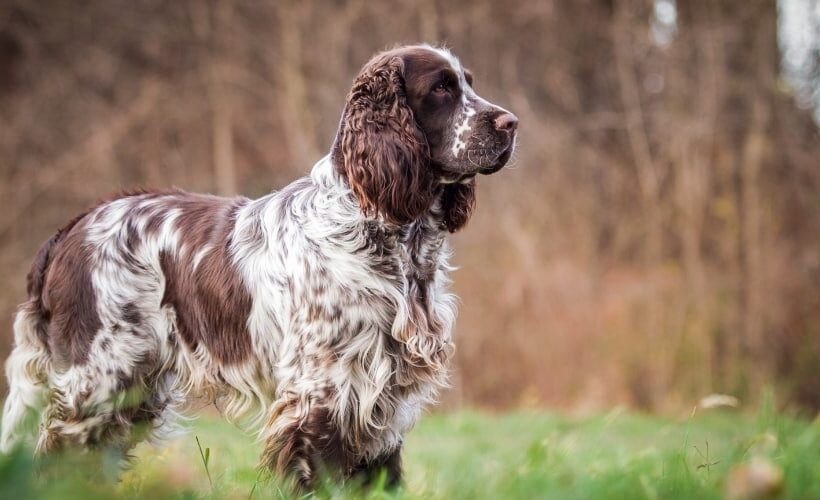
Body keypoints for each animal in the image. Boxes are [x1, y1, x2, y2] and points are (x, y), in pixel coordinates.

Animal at [1, 44, 520, 488]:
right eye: (441, 88)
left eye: (468, 83)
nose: (512, 123)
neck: (381, 234)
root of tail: (70, 230)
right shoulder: (323, 398)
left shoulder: (382, 402)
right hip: (97, 384)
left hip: (130, 393)